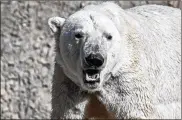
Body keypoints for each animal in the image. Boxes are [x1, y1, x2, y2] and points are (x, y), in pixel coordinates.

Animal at [47, 1, 181, 119]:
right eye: (78, 34)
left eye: (109, 36)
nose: (94, 59)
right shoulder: (68, 81)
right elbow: (70, 112)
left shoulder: (124, 78)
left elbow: (135, 111)